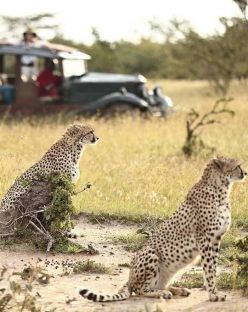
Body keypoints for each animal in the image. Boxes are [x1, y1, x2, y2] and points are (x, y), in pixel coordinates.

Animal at [79, 157, 246, 304]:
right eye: (237, 166)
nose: (245, 173)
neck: (220, 189)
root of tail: (130, 277)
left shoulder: (216, 239)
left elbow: (213, 268)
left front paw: (213, 292)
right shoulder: (206, 240)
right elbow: (209, 269)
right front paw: (213, 295)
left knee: (158, 284)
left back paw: (176, 289)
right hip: (150, 253)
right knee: (140, 290)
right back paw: (163, 293)